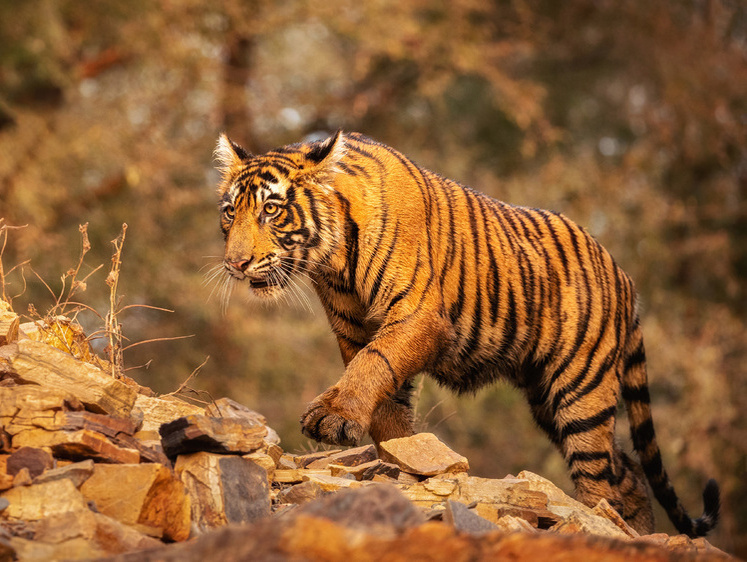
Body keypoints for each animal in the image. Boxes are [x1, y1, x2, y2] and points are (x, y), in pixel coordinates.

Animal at [213, 129, 720, 536]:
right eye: (230, 213)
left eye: (272, 210)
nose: (235, 264)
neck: (333, 260)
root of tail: (624, 275)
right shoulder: (353, 328)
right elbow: (385, 400)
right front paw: (399, 459)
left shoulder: (417, 315)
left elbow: (374, 363)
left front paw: (334, 417)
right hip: (547, 397)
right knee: (628, 471)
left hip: (582, 391)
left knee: (602, 479)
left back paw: (608, 527)